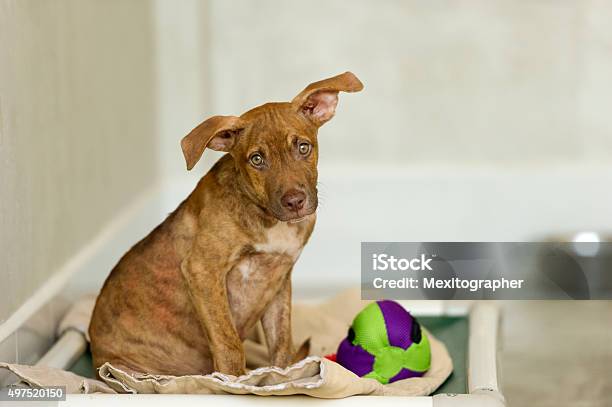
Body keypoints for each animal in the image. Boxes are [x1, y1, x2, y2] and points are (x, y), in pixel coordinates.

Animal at [87, 72, 364, 376]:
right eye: (256, 159)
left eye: (303, 147)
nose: (294, 202)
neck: (266, 217)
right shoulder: (203, 270)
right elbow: (228, 343)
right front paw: (236, 382)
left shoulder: (279, 280)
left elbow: (282, 344)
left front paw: (283, 378)